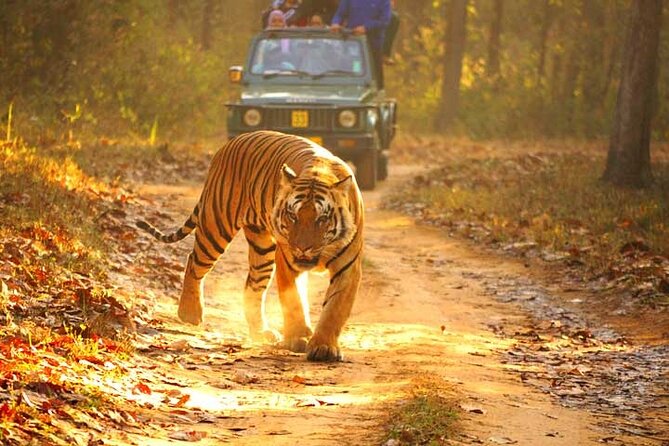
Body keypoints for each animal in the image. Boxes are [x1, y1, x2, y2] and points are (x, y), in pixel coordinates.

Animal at [136, 130, 364, 362]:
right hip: (216, 226)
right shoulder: (287, 261)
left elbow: (334, 309)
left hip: (261, 249)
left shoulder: (348, 267)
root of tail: (230, 143)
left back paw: (261, 331)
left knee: (252, 286)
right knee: (194, 262)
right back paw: (190, 313)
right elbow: (293, 301)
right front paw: (297, 338)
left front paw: (323, 347)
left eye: (322, 219)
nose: (302, 248)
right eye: (292, 216)